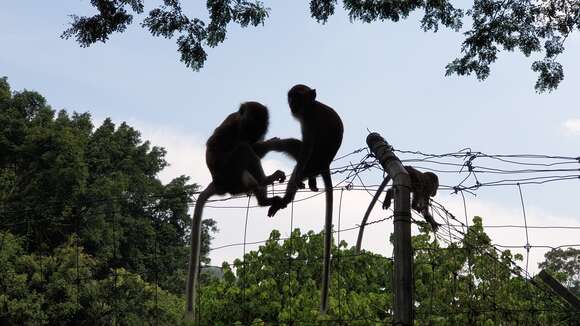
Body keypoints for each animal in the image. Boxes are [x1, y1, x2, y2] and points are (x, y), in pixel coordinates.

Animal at [186, 102, 286, 318]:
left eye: (260, 124)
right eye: (251, 121)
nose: (254, 132)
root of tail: (218, 182)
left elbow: (255, 147)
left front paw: (270, 143)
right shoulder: (233, 127)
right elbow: (227, 145)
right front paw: (270, 144)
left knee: (247, 150)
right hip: (230, 174)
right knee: (242, 149)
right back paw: (265, 187)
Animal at [266, 84, 342, 314]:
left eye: (297, 97)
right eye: (291, 97)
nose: (292, 104)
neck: (313, 106)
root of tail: (325, 164)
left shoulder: (309, 123)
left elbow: (304, 152)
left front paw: (285, 199)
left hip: (312, 162)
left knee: (298, 152)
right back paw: (309, 181)